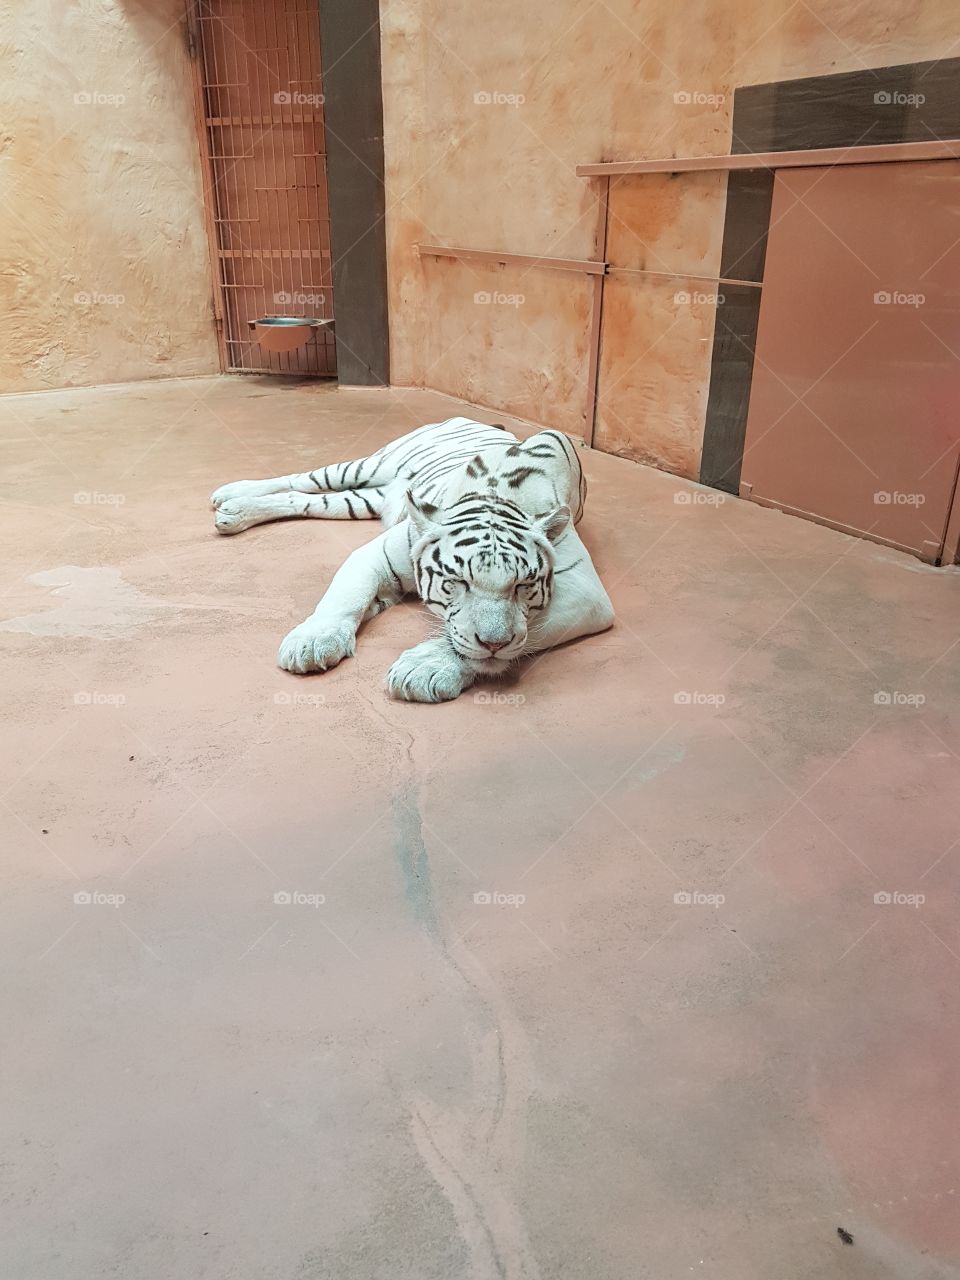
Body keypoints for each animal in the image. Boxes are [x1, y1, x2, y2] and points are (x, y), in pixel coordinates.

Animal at [210, 416, 614, 702]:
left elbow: (524, 630)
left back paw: (235, 512)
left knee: (302, 498)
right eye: (458, 582)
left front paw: (428, 667)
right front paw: (312, 642)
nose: (494, 643)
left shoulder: (587, 593)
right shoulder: (377, 552)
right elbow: (344, 596)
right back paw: (230, 493)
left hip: (361, 499)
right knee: (301, 479)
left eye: (523, 586)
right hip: (369, 466)